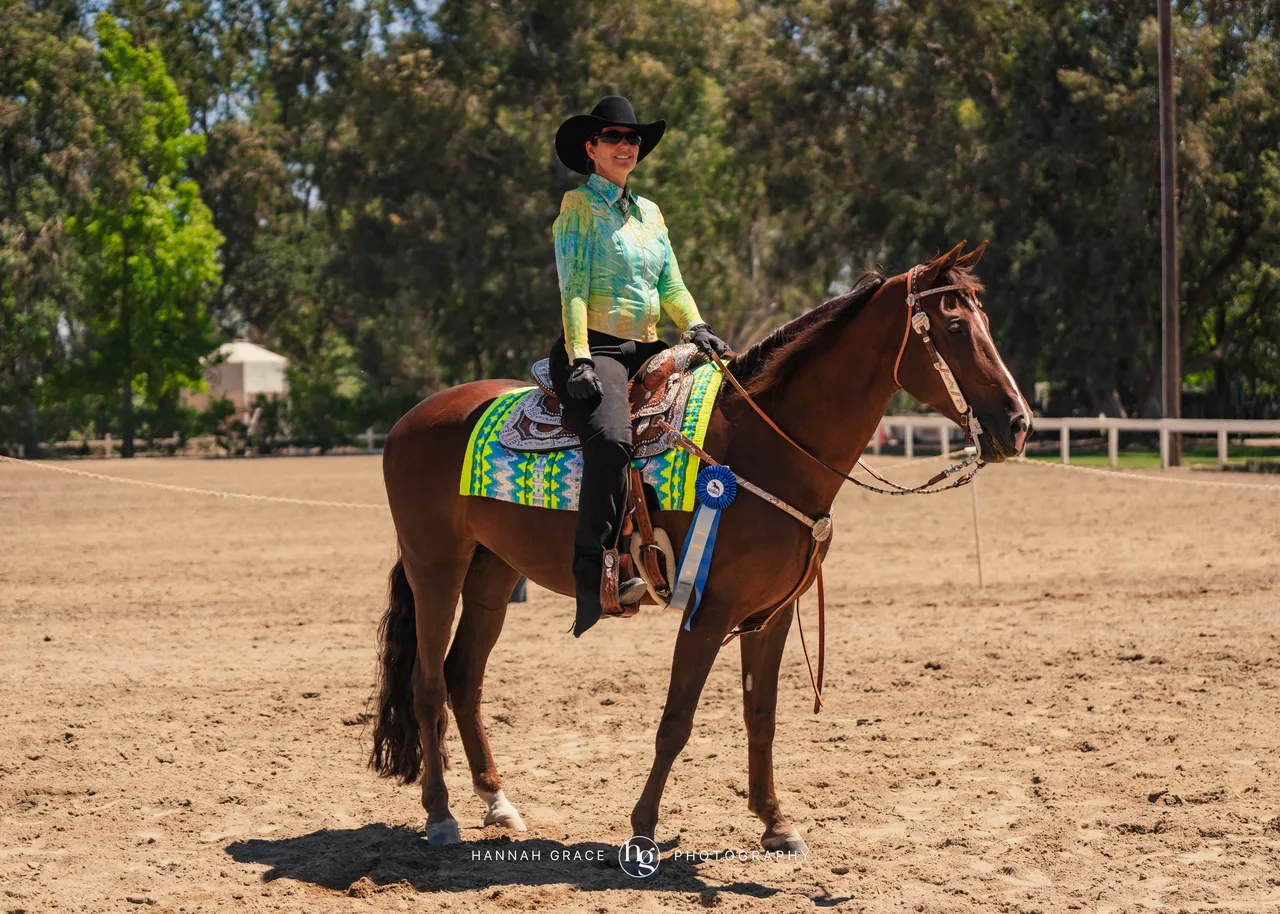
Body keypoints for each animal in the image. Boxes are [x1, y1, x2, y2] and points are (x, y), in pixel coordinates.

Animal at [370, 240, 1033, 850]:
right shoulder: (707, 611)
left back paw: (497, 803)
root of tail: (410, 420)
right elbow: (676, 720)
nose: (1020, 423)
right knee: (428, 685)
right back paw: (441, 814)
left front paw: (776, 823)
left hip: (493, 574)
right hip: (436, 568)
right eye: (955, 327)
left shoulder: (771, 614)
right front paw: (642, 828)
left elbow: (761, 715)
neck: (767, 449)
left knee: (463, 678)